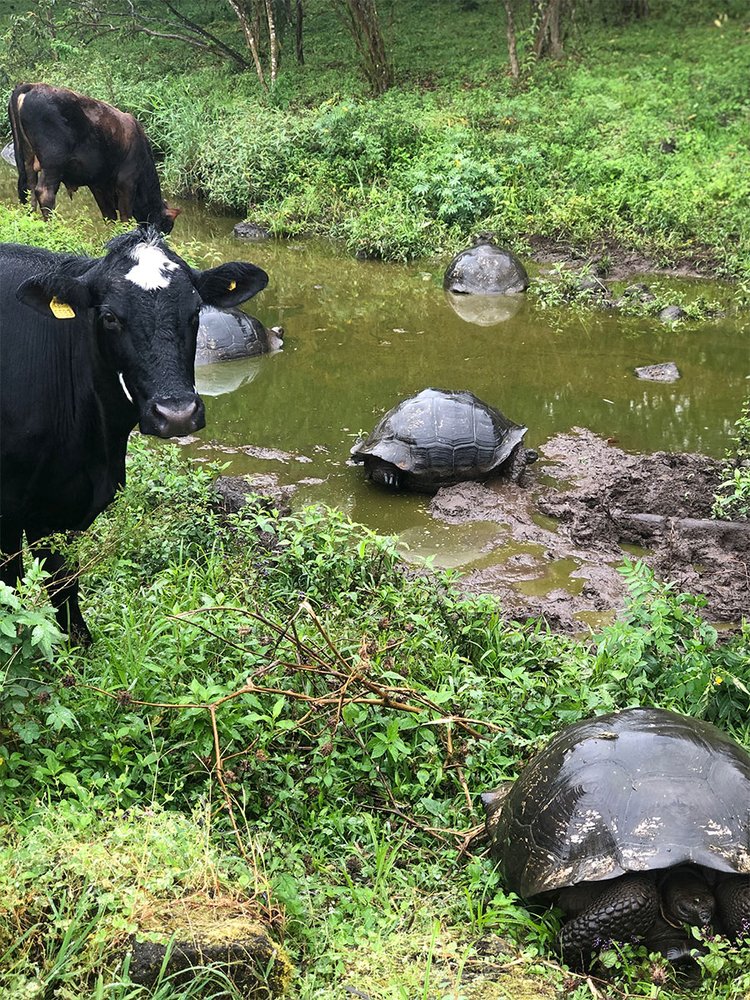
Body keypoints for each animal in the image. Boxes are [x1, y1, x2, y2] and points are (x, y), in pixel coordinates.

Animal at [0, 229, 270, 644]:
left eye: (195, 313)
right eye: (109, 317)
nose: (177, 414)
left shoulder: (59, 510)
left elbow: (64, 586)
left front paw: (79, 646)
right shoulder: (8, 514)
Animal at [8, 83, 180, 235]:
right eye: (167, 226)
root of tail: (32, 86)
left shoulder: (98, 184)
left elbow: (109, 215)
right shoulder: (127, 181)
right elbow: (125, 216)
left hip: (27, 158)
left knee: (28, 187)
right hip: (53, 163)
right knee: (44, 192)